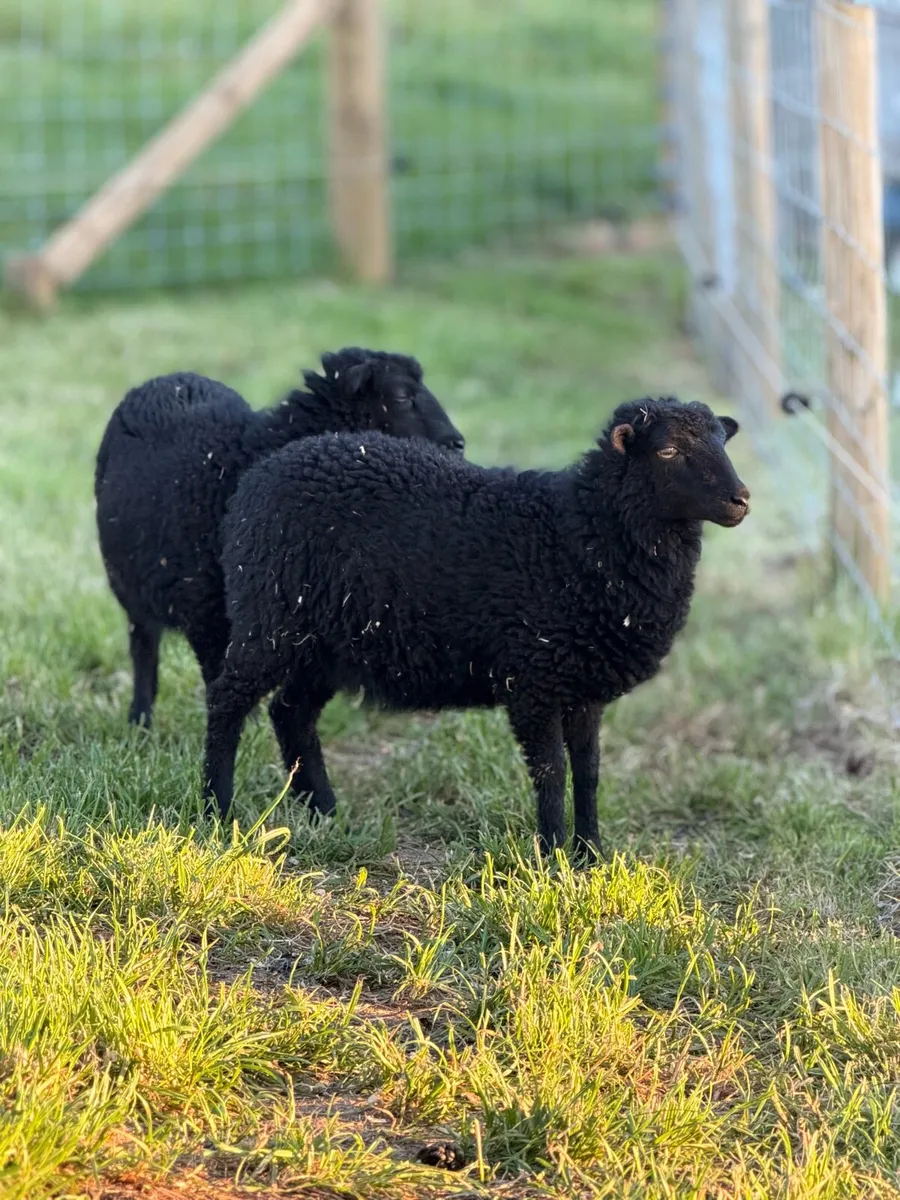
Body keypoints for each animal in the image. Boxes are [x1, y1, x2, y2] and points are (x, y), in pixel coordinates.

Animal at [95, 348, 465, 728]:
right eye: (402, 396)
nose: (458, 443)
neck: (243, 456)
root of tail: (167, 378)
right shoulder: (202, 608)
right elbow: (217, 676)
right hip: (128, 581)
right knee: (143, 646)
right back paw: (140, 718)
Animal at [204, 396, 749, 856]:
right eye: (668, 450)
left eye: (723, 441)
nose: (741, 499)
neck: (578, 533)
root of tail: (263, 472)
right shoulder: (534, 678)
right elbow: (551, 773)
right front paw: (553, 857)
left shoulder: (581, 685)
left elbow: (589, 771)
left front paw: (591, 854)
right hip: (268, 618)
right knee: (227, 700)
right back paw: (217, 809)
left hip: (326, 643)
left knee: (290, 712)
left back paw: (325, 812)